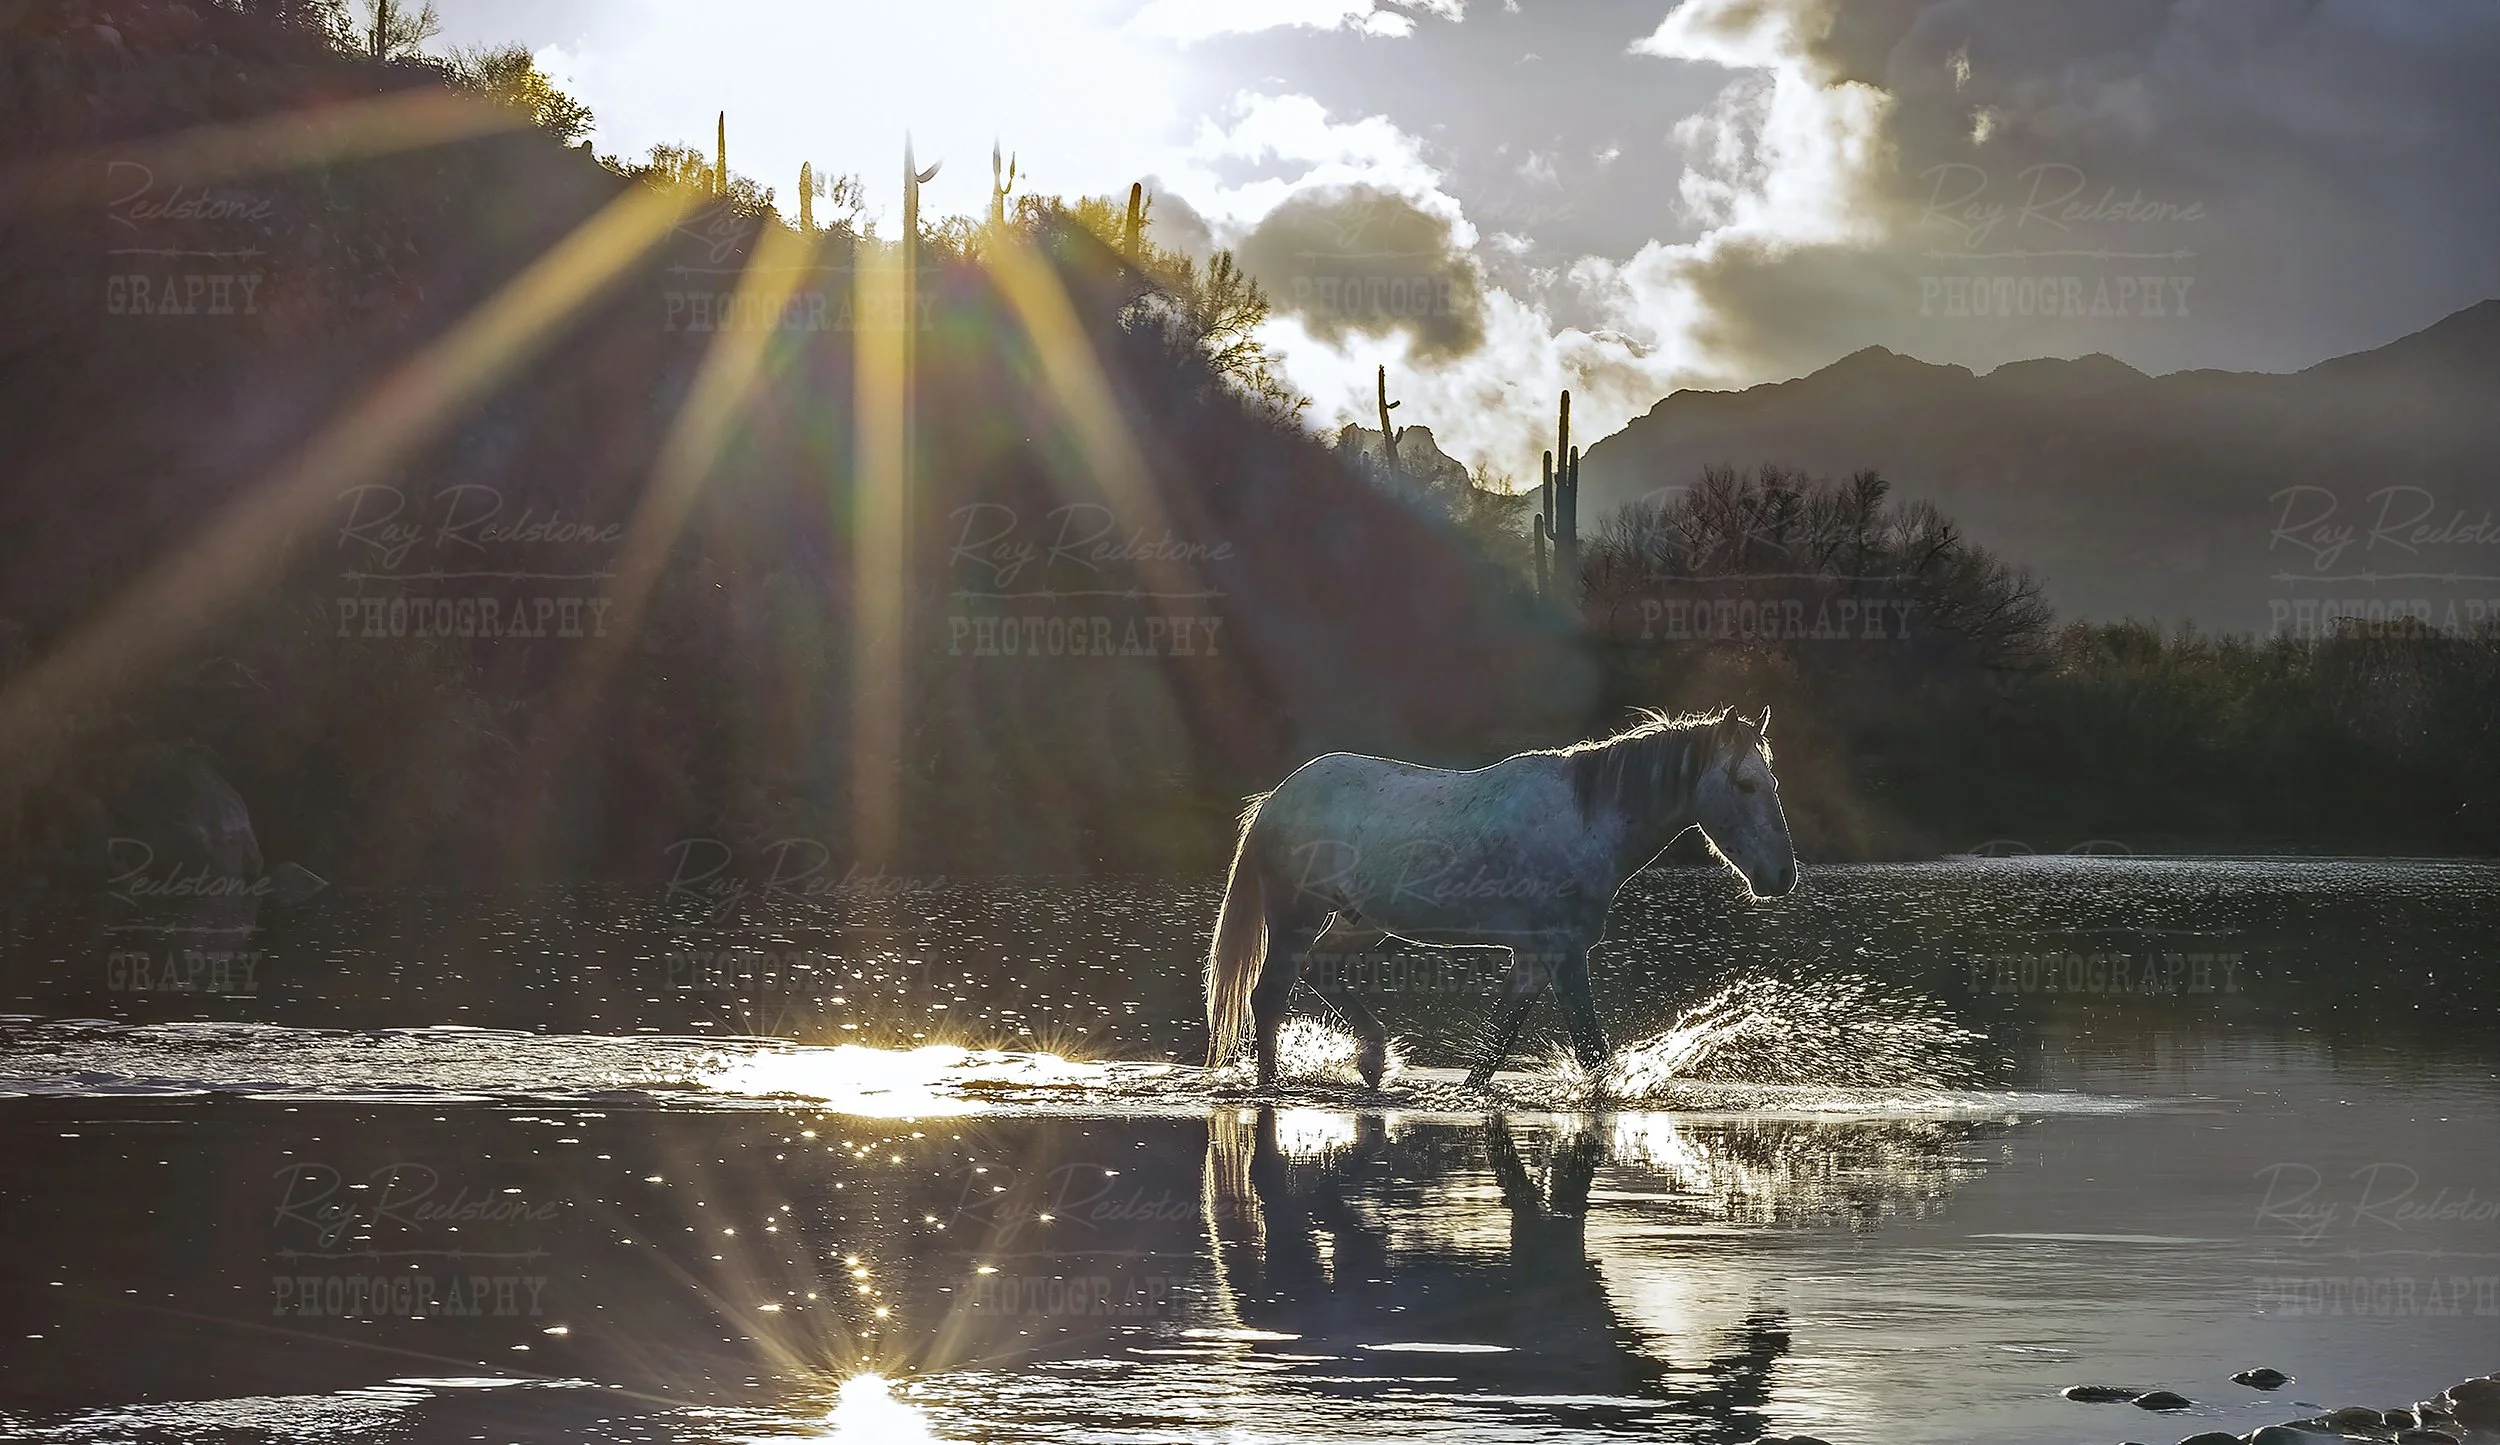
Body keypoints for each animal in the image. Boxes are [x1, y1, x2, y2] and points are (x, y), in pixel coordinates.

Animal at [1204, 707, 1796, 1089]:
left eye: (1772, 781)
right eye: (1745, 783)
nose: (1781, 876)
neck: (1585, 822)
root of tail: (1277, 797)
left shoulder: (1533, 960)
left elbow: (1492, 1053)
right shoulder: (1563, 956)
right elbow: (1591, 1053)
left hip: (1359, 923)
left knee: (1320, 972)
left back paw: (1373, 1058)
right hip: (1295, 919)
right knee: (1268, 997)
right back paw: (1273, 1083)